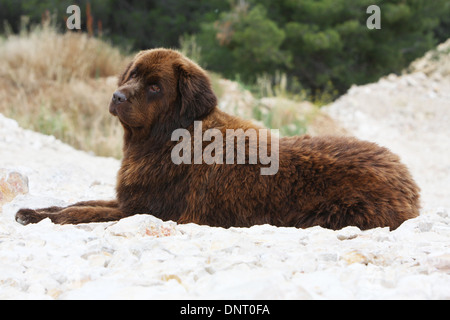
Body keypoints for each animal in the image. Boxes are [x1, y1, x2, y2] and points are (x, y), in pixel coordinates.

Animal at [15, 48, 420, 229]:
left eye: (155, 87)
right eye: (132, 75)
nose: (117, 97)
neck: (170, 138)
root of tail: (408, 178)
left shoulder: (143, 209)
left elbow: (81, 212)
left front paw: (38, 215)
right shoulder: (128, 199)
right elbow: (76, 201)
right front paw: (36, 210)